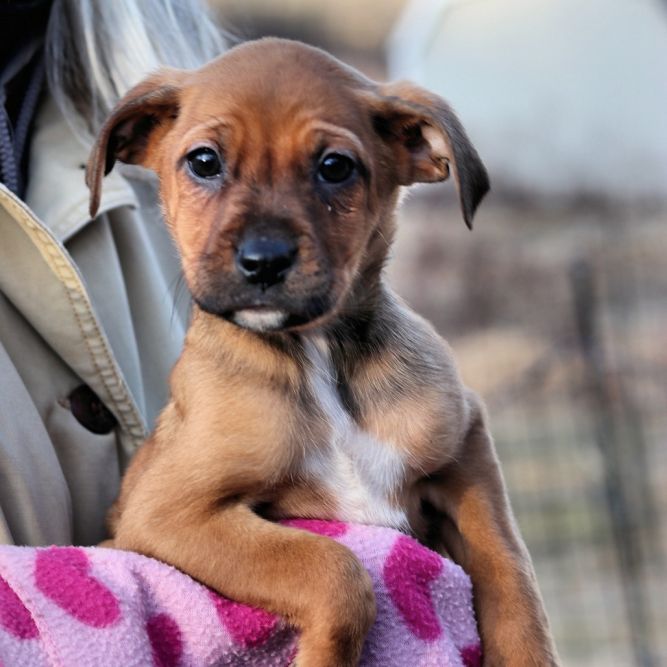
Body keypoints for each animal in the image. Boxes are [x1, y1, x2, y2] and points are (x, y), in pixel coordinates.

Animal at [86, 39, 560, 664]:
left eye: (335, 167)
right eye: (204, 162)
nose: (264, 261)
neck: (318, 357)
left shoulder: (467, 450)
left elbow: (510, 571)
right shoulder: (167, 508)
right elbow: (331, 566)